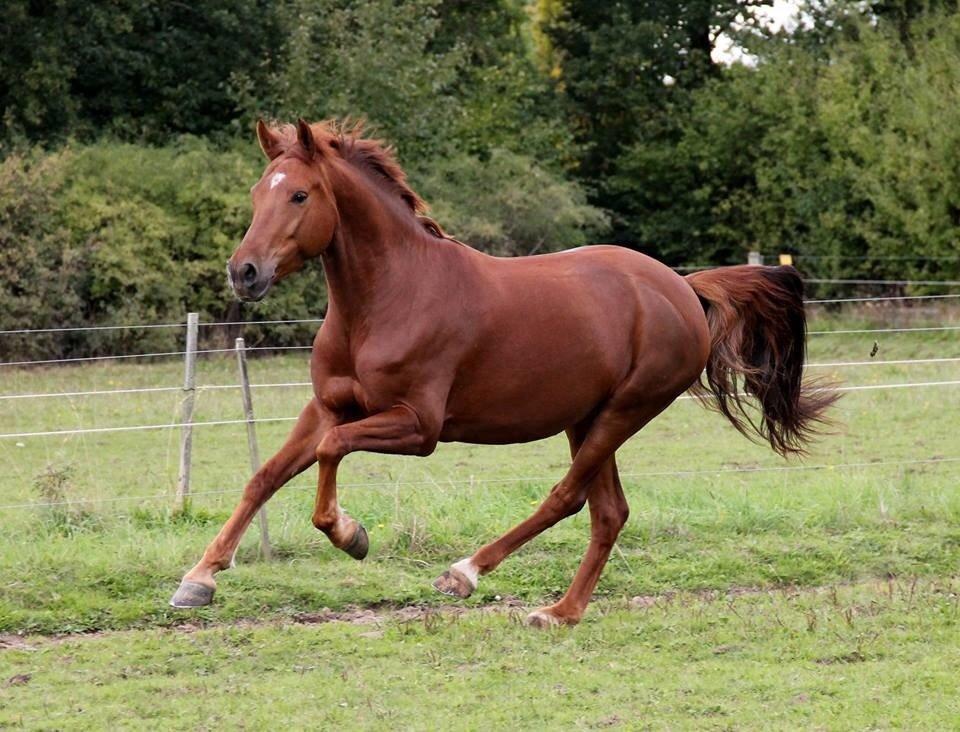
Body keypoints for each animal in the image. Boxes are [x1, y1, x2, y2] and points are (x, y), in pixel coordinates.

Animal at [171, 118, 832, 624]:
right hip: (586, 417)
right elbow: (265, 477)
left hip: (625, 411)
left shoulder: (418, 427)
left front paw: (350, 535)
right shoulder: (329, 406)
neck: (385, 300)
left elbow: (332, 453)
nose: (244, 273)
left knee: (568, 497)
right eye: (258, 193)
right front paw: (199, 579)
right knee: (608, 512)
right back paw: (561, 613)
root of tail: (682, 288)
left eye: (300, 196)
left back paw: (466, 573)